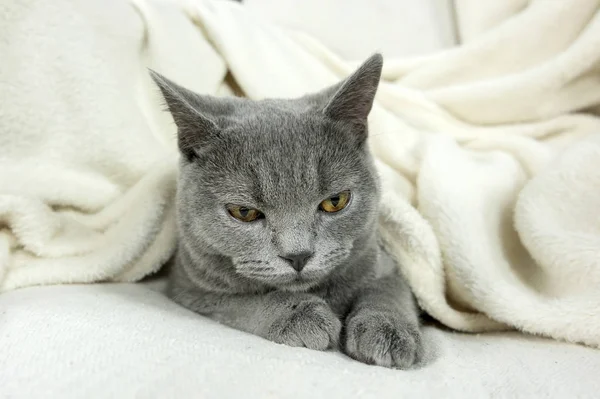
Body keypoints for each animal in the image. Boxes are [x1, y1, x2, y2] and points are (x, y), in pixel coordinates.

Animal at [151, 54, 422, 370]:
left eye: (335, 201)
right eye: (243, 211)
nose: (298, 255)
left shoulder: (385, 261)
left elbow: (389, 288)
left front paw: (387, 329)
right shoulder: (190, 289)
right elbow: (242, 301)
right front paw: (299, 315)